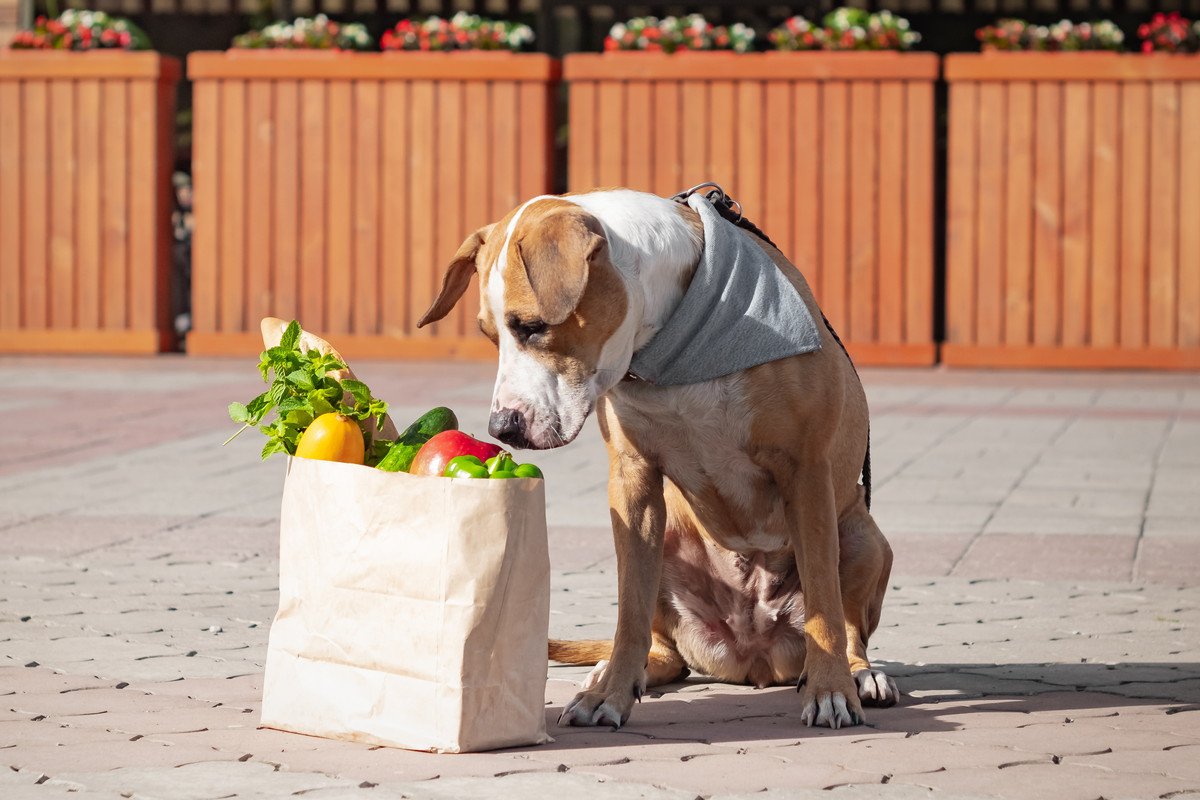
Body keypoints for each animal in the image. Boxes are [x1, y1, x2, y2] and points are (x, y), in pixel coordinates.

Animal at [417, 189, 897, 734]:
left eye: (533, 328)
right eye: (490, 335)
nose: (501, 428)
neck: (669, 351)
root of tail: (753, 657)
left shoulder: (806, 472)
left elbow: (823, 603)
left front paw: (830, 691)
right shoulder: (632, 482)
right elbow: (629, 611)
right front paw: (609, 694)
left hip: (861, 535)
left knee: (849, 622)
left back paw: (859, 674)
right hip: (666, 541)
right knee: (662, 643)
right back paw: (618, 670)